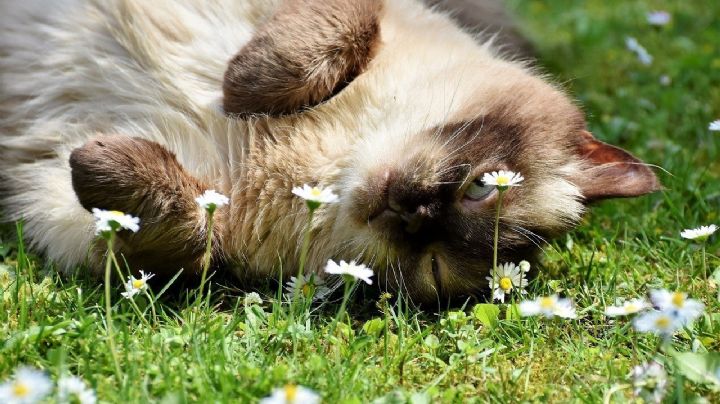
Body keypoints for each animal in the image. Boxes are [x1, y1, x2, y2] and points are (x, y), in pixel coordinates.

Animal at [0, 0, 660, 304]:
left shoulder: (61, 208)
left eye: (432, 265)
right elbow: (338, 32)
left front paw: (98, 159)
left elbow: (190, 232)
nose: (411, 212)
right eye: (480, 185)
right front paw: (242, 92)